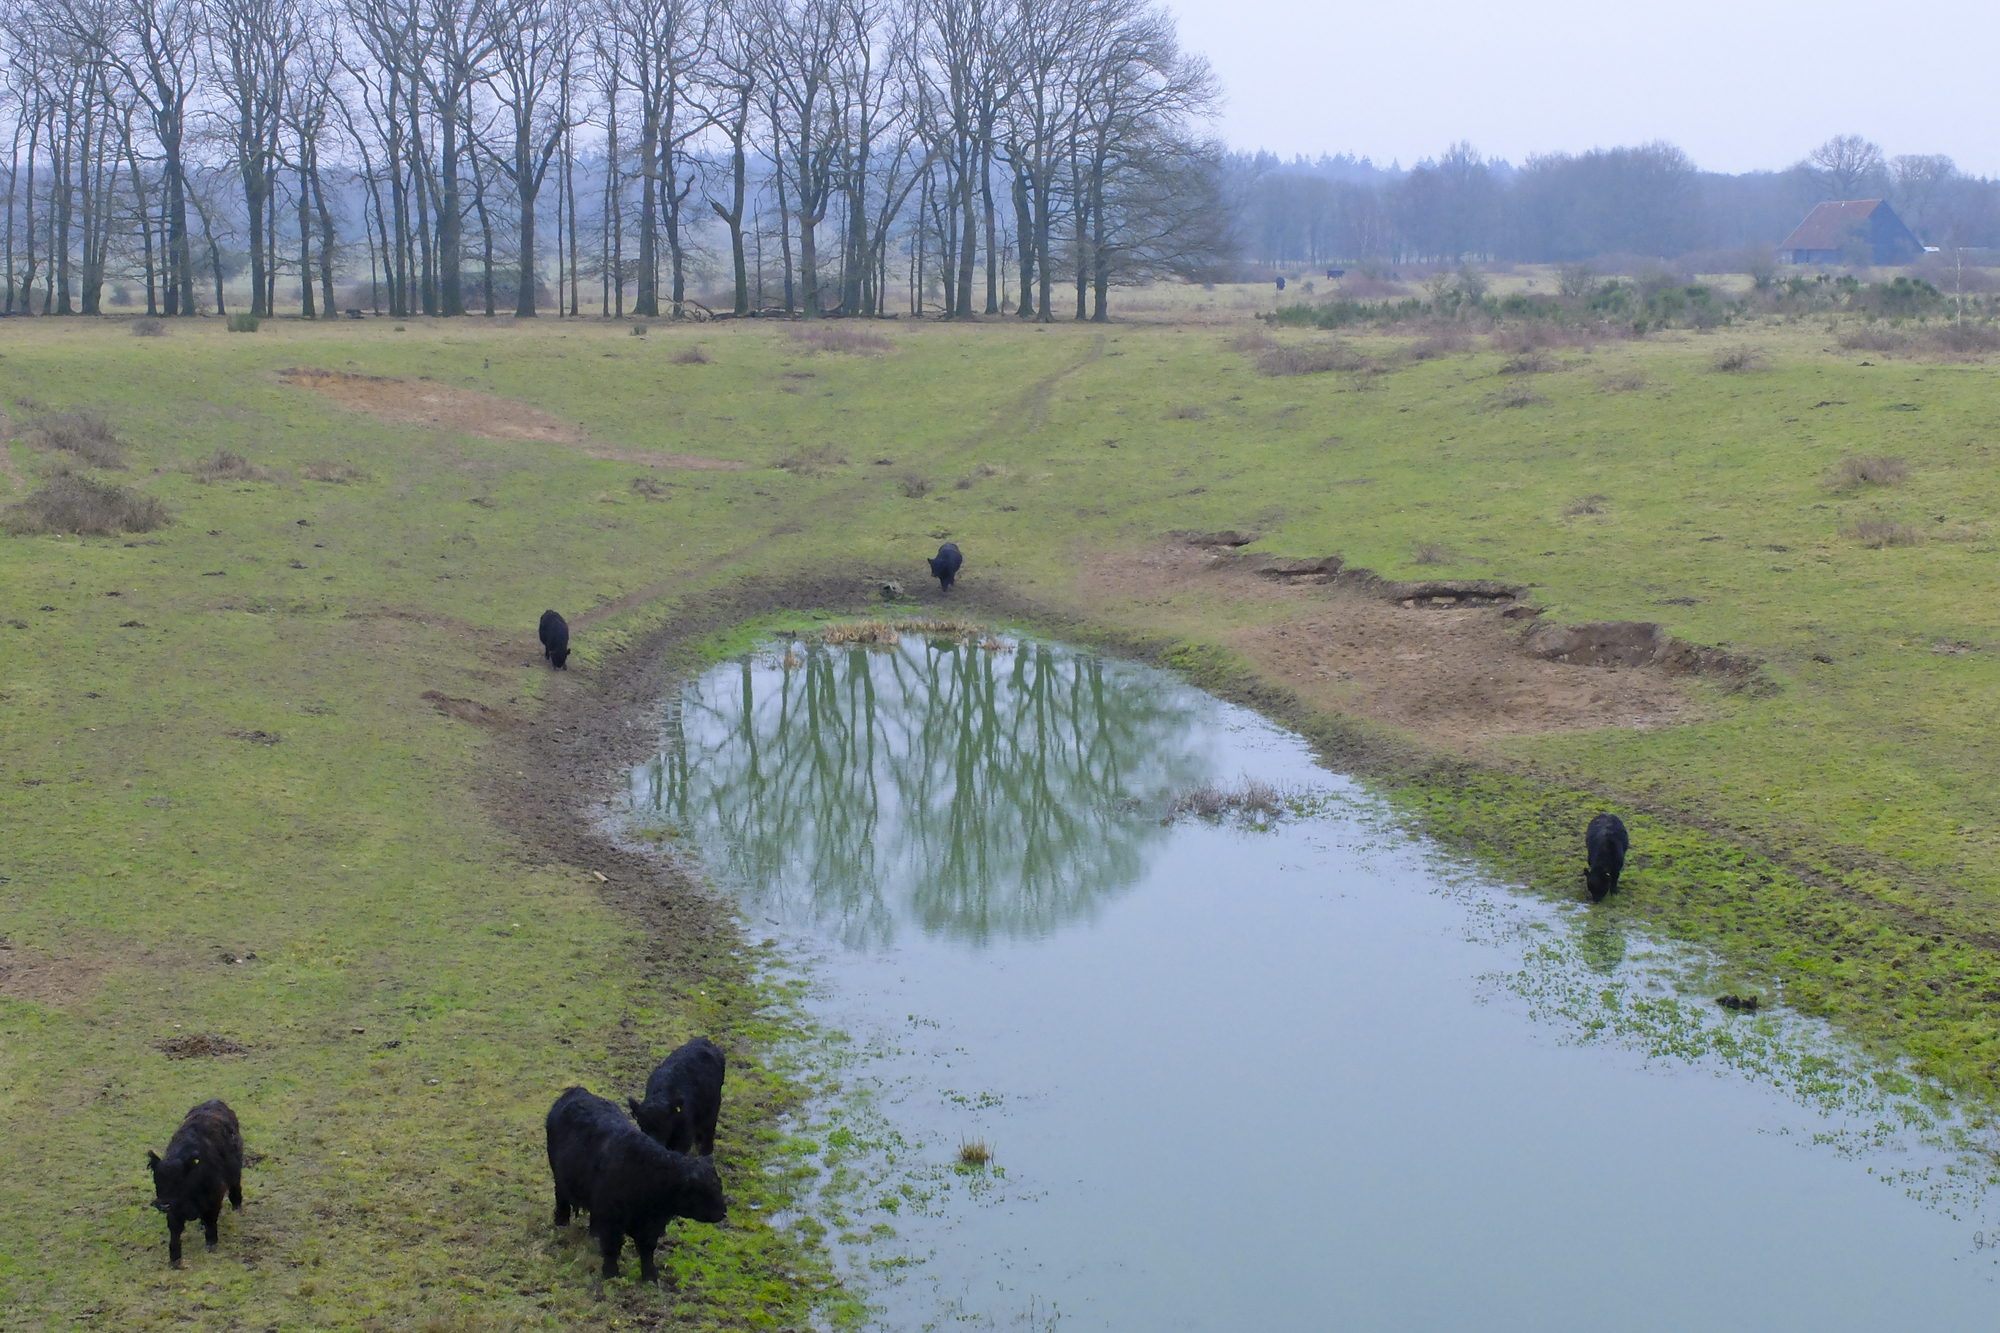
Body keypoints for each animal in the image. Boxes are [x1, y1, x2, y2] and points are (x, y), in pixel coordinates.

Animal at [147, 1096, 245, 1264]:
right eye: (156, 1180)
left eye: (180, 1181)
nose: (164, 1204)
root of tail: (215, 1101)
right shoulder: (174, 1210)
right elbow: (175, 1231)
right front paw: (175, 1259)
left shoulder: (213, 1198)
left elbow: (211, 1221)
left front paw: (211, 1243)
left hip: (234, 1171)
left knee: (235, 1187)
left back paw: (237, 1207)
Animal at [544, 1088, 732, 1280]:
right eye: (703, 1192)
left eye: (719, 1186)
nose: (723, 1212)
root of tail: (576, 1090)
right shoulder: (612, 1220)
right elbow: (612, 1247)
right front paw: (611, 1273)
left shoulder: (650, 1227)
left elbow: (647, 1250)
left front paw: (650, 1275)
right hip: (559, 1177)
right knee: (562, 1199)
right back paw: (561, 1222)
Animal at [632, 1024, 728, 1152]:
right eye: (642, 1125)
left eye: (665, 1125)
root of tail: (704, 1040)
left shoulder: (684, 1137)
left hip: (713, 1106)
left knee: (709, 1130)